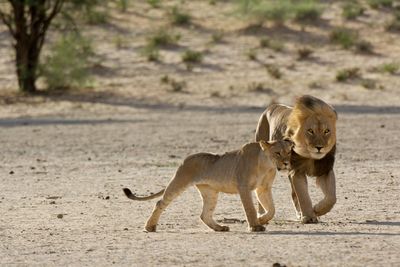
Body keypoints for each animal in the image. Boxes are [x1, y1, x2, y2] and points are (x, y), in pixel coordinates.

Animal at [121, 140, 290, 232]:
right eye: (277, 153)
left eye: (289, 152)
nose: (287, 163)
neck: (266, 165)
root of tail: (184, 160)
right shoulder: (244, 187)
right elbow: (250, 208)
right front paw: (255, 226)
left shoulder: (263, 188)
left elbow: (272, 209)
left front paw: (261, 219)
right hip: (179, 181)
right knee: (160, 202)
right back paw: (149, 227)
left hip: (210, 192)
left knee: (204, 214)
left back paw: (220, 228)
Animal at [255, 95, 336, 225]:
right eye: (310, 131)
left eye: (326, 131)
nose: (319, 147)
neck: (309, 154)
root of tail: (272, 106)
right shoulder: (297, 171)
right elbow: (303, 195)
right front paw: (309, 217)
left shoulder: (325, 169)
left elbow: (331, 198)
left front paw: (317, 210)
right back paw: (261, 215)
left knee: (293, 194)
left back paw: (299, 214)